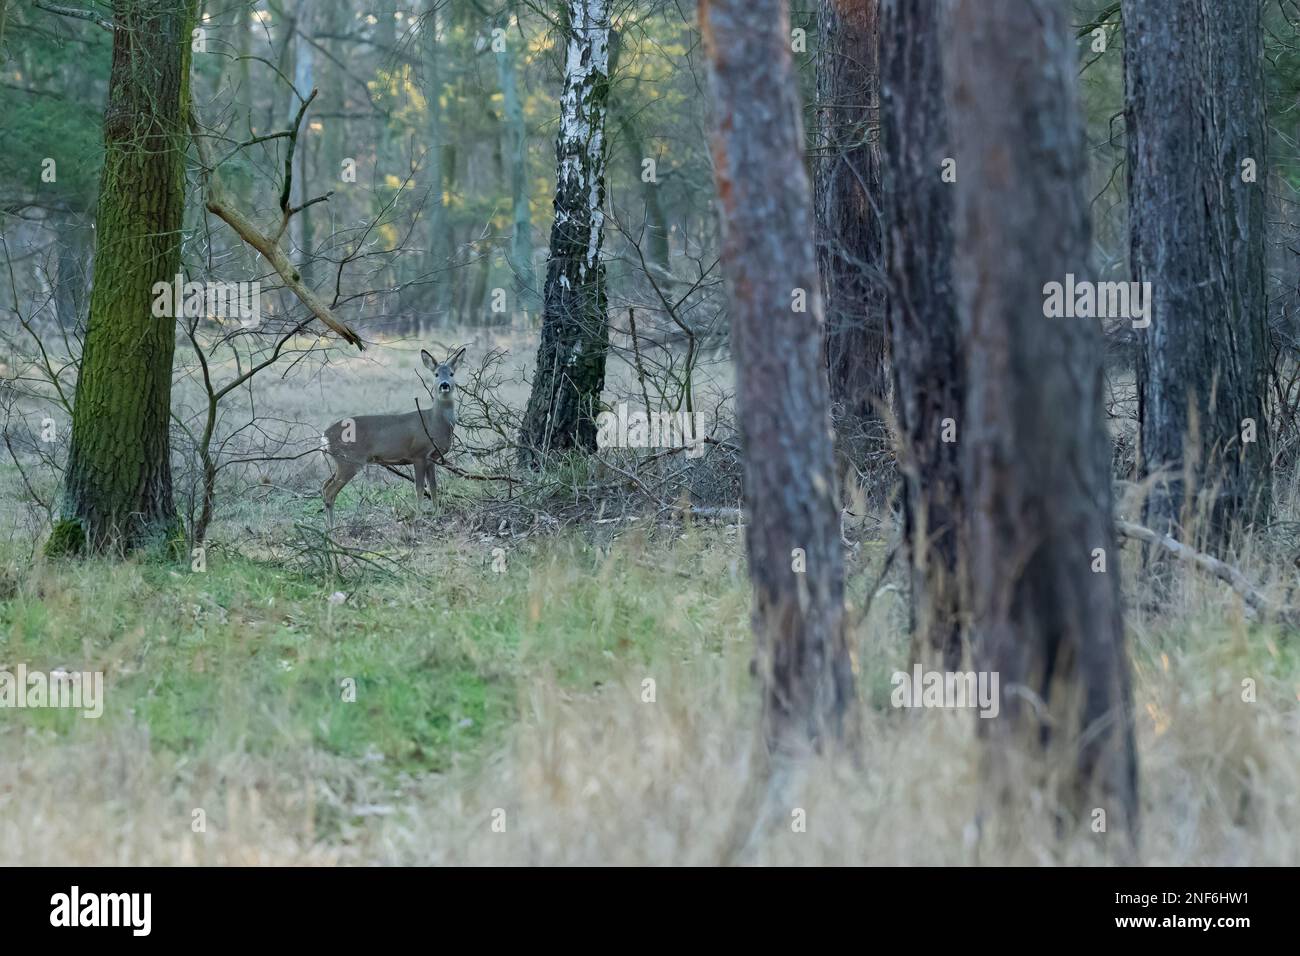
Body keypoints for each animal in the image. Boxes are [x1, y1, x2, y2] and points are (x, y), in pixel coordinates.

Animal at [320, 346, 466, 528]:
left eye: (452, 373)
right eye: (436, 374)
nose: (444, 385)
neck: (434, 423)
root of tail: (325, 436)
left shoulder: (431, 458)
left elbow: (433, 487)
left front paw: (437, 513)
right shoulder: (418, 454)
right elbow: (419, 488)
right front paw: (419, 517)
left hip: (341, 461)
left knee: (325, 485)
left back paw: (329, 526)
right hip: (349, 460)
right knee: (330, 490)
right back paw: (331, 528)